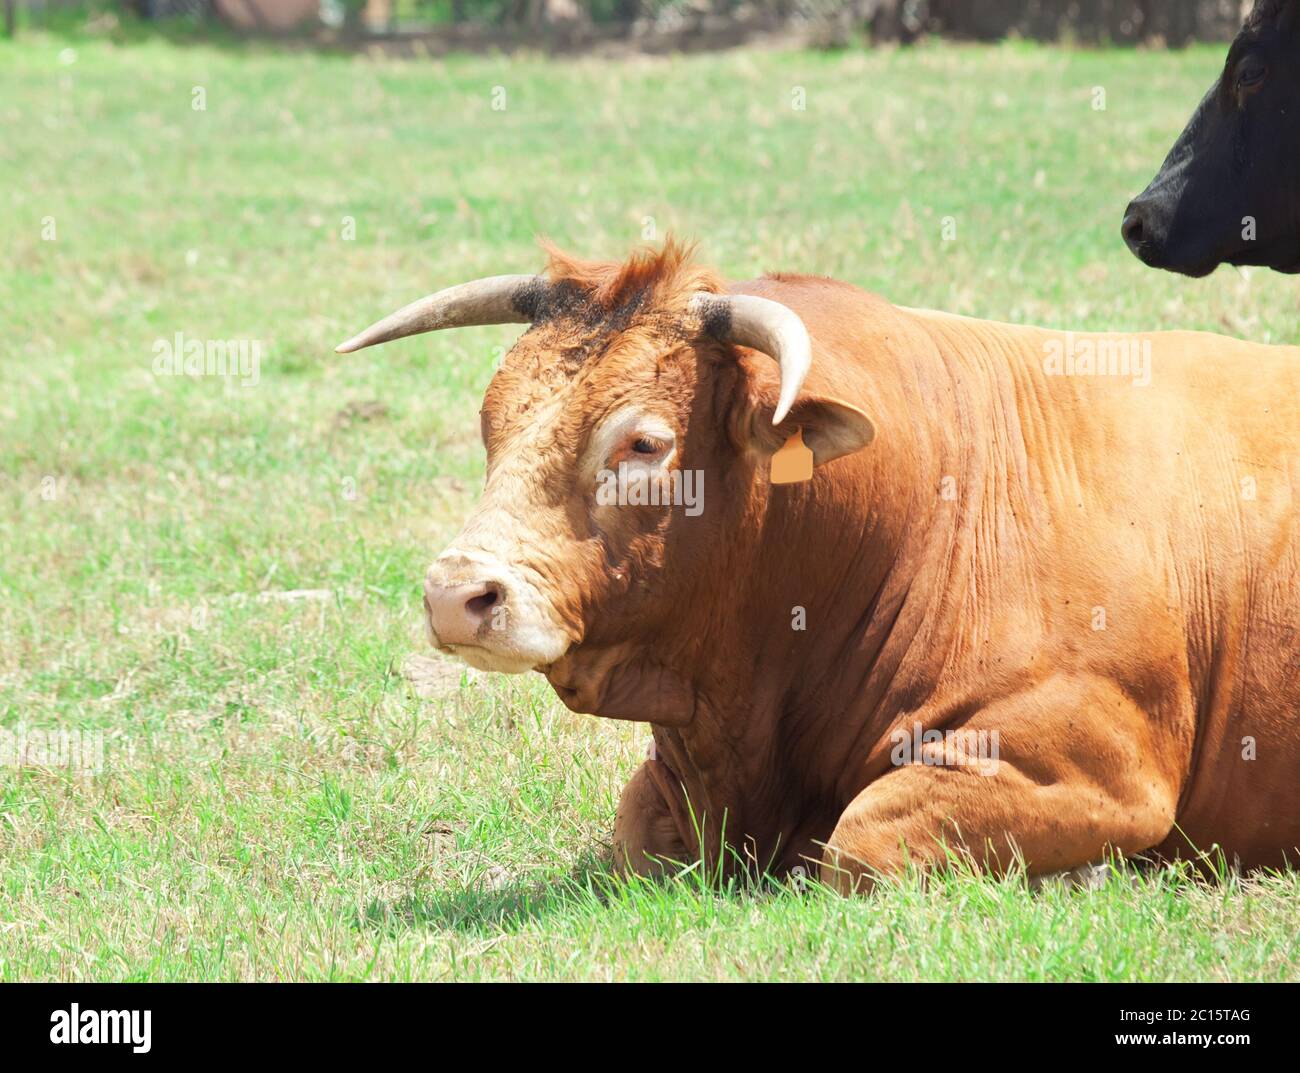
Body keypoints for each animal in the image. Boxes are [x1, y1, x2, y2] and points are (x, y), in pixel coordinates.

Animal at [338, 240, 1300, 892]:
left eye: (644, 443)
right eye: (490, 421)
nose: (456, 594)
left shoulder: (1096, 766)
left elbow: (861, 843)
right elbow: (635, 834)